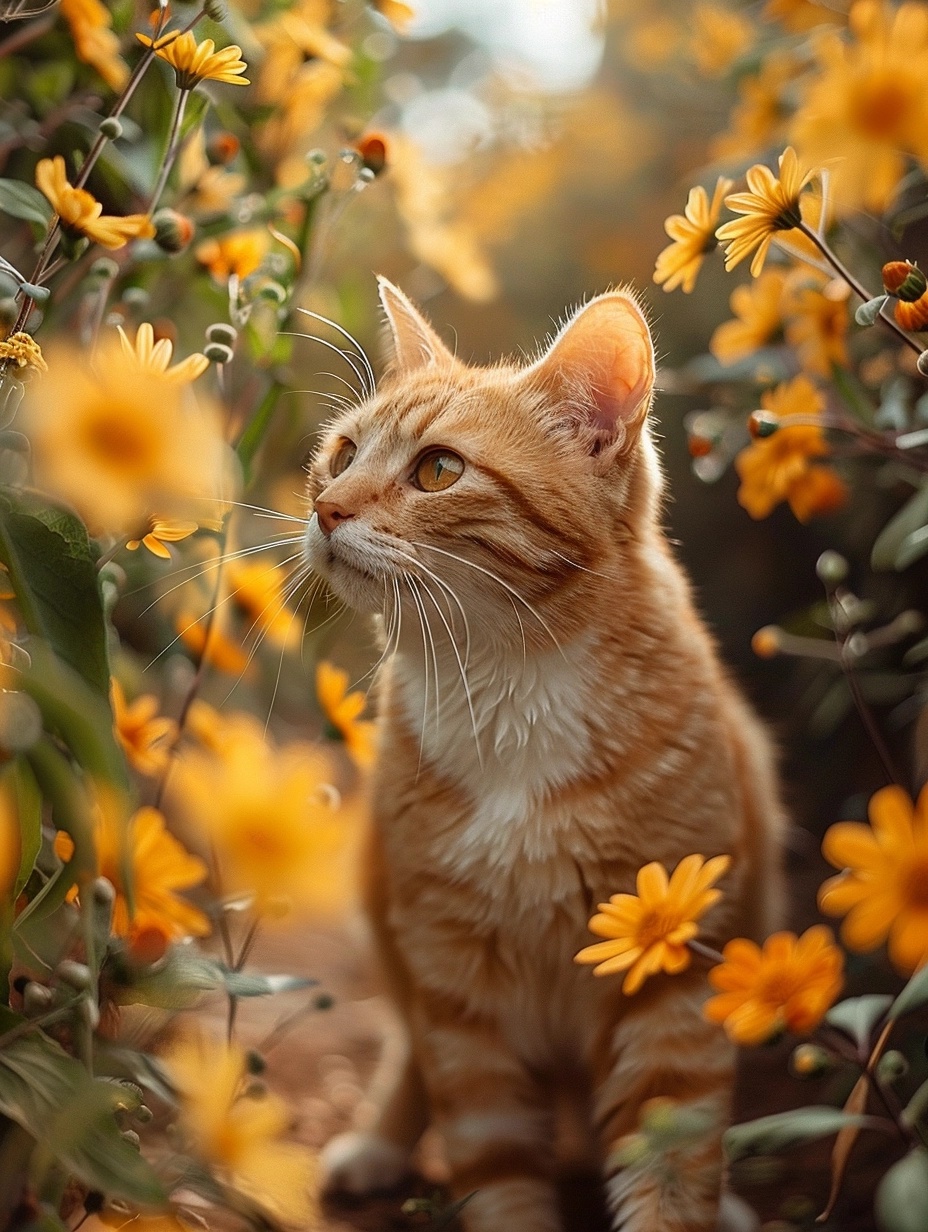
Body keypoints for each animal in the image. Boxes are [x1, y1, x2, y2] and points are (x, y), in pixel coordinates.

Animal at [308, 282, 783, 1232]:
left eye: (438, 471)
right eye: (341, 453)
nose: (325, 508)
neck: (508, 693)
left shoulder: (671, 973)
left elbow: (673, 1160)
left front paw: (691, 1203)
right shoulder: (456, 989)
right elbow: (491, 1158)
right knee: (407, 1052)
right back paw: (378, 1142)